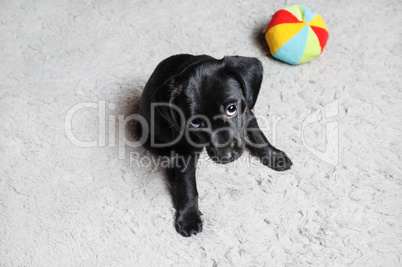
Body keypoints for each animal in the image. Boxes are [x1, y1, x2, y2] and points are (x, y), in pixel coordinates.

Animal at [138, 54, 292, 237]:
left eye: (231, 109)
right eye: (195, 123)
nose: (226, 157)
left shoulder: (247, 112)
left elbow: (258, 136)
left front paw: (274, 156)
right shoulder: (185, 149)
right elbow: (187, 184)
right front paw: (189, 217)